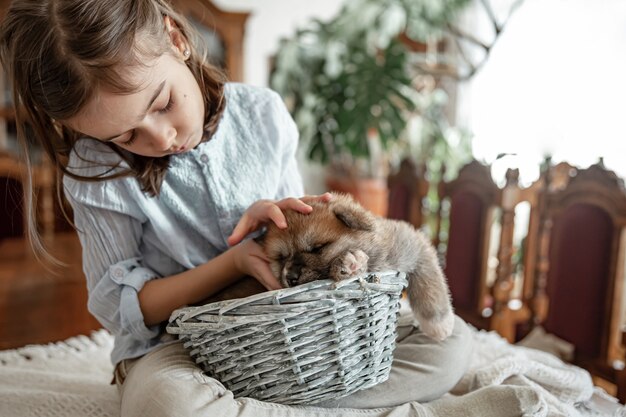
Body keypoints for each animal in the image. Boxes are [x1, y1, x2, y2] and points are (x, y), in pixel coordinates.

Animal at [255, 193, 454, 340]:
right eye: (281, 258)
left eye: (318, 248)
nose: (290, 277)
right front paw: (350, 262)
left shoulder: (415, 248)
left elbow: (429, 286)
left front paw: (439, 325)